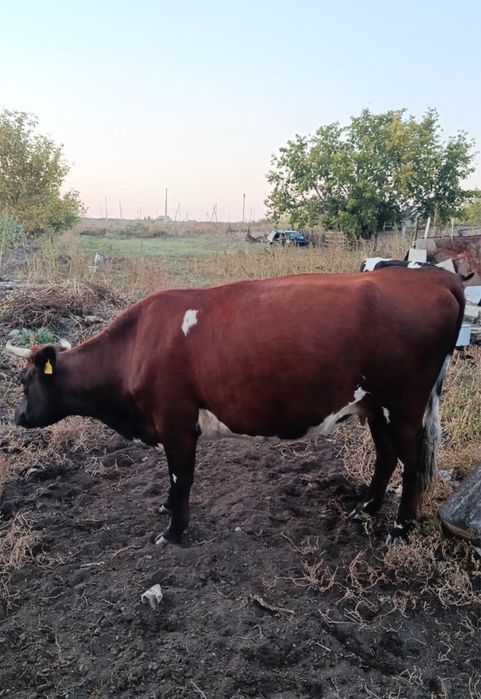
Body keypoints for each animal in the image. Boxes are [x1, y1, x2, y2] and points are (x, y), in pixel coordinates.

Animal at [6, 268, 466, 546]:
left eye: (26, 382)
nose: (17, 417)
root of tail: (434, 276)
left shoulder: (175, 421)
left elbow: (181, 478)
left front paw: (173, 531)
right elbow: (172, 481)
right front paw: (167, 511)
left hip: (403, 407)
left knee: (412, 467)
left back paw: (400, 530)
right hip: (373, 407)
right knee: (386, 456)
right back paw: (365, 508)